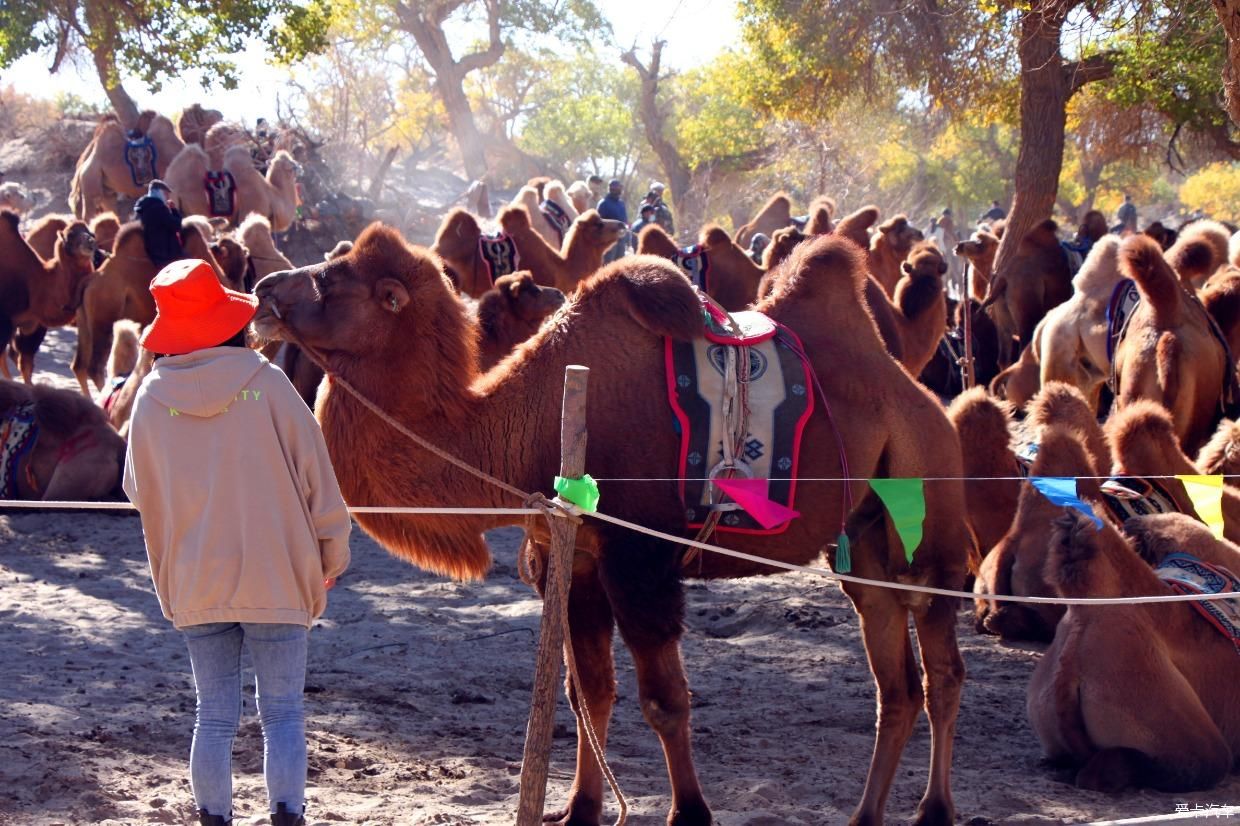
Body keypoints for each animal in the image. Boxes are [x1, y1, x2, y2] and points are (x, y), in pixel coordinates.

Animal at [249, 225, 967, 823]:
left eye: (333, 279)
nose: (262, 288)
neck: (535, 428)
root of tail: (921, 392)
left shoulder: (637, 558)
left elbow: (664, 700)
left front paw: (689, 815)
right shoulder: (573, 556)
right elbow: (587, 692)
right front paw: (579, 809)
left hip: (929, 502)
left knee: (942, 670)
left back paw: (935, 810)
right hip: (867, 541)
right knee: (895, 682)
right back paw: (866, 815)